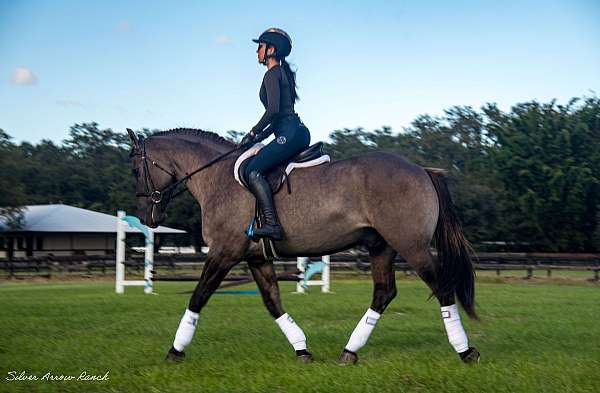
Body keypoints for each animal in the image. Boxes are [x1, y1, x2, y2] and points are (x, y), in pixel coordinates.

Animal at [127, 127, 482, 362]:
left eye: (134, 170)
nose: (146, 216)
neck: (218, 179)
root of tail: (421, 169)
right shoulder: (256, 258)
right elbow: (273, 303)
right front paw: (302, 349)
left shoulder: (224, 253)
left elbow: (198, 297)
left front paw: (175, 351)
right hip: (382, 247)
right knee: (384, 293)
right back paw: (349, 351)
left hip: (412, 247)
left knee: (442, 287)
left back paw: (465, 351)